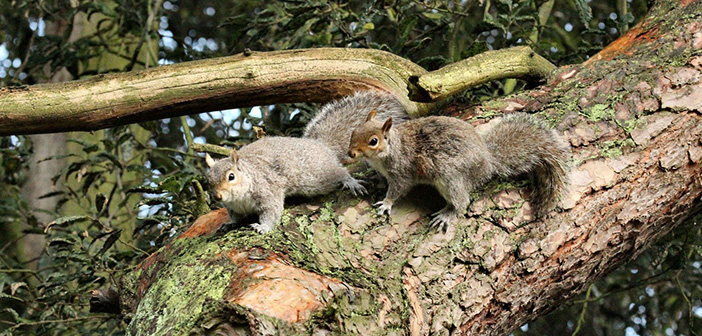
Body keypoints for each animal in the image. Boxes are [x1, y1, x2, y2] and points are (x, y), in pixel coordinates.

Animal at [205, 136, 366, 234]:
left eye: (231, 176)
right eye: (208, 180)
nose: (218, 196)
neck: (239, 198)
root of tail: (322, 145)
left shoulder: (268, 191)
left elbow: (271, 211)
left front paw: (263, 227)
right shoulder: (233, 208)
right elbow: (236, 217)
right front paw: (229, 224)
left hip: (317, 177)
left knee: (339, 172)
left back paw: (350, 181)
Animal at [348, 111, 572, 232]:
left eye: (373, 141)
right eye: (354, 131)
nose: (350, 153)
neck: (391, 148)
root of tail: (487, 162)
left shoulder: (402, 171)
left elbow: (398, 189)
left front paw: (386, 203)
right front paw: (374, 179)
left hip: (451, 179)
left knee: (461, 201)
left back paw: (448, 214)